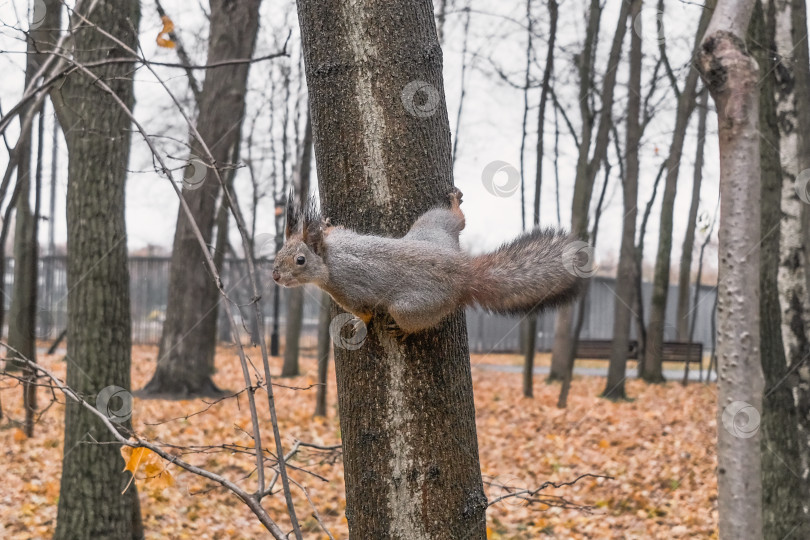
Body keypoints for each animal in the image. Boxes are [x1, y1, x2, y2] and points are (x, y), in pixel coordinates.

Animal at [274, 189, 588, 334]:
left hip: (413, 307)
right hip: (432, 227)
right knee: (457, 220)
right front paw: (326, 224)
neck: (329, 257)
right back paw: (454, 205)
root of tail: (462, 273)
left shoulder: (345, 290)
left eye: (300, 260)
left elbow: (365, 313)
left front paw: (358, 324)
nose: (275, 276)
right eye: (279, 252)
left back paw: (402, 332)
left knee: (415, 321)